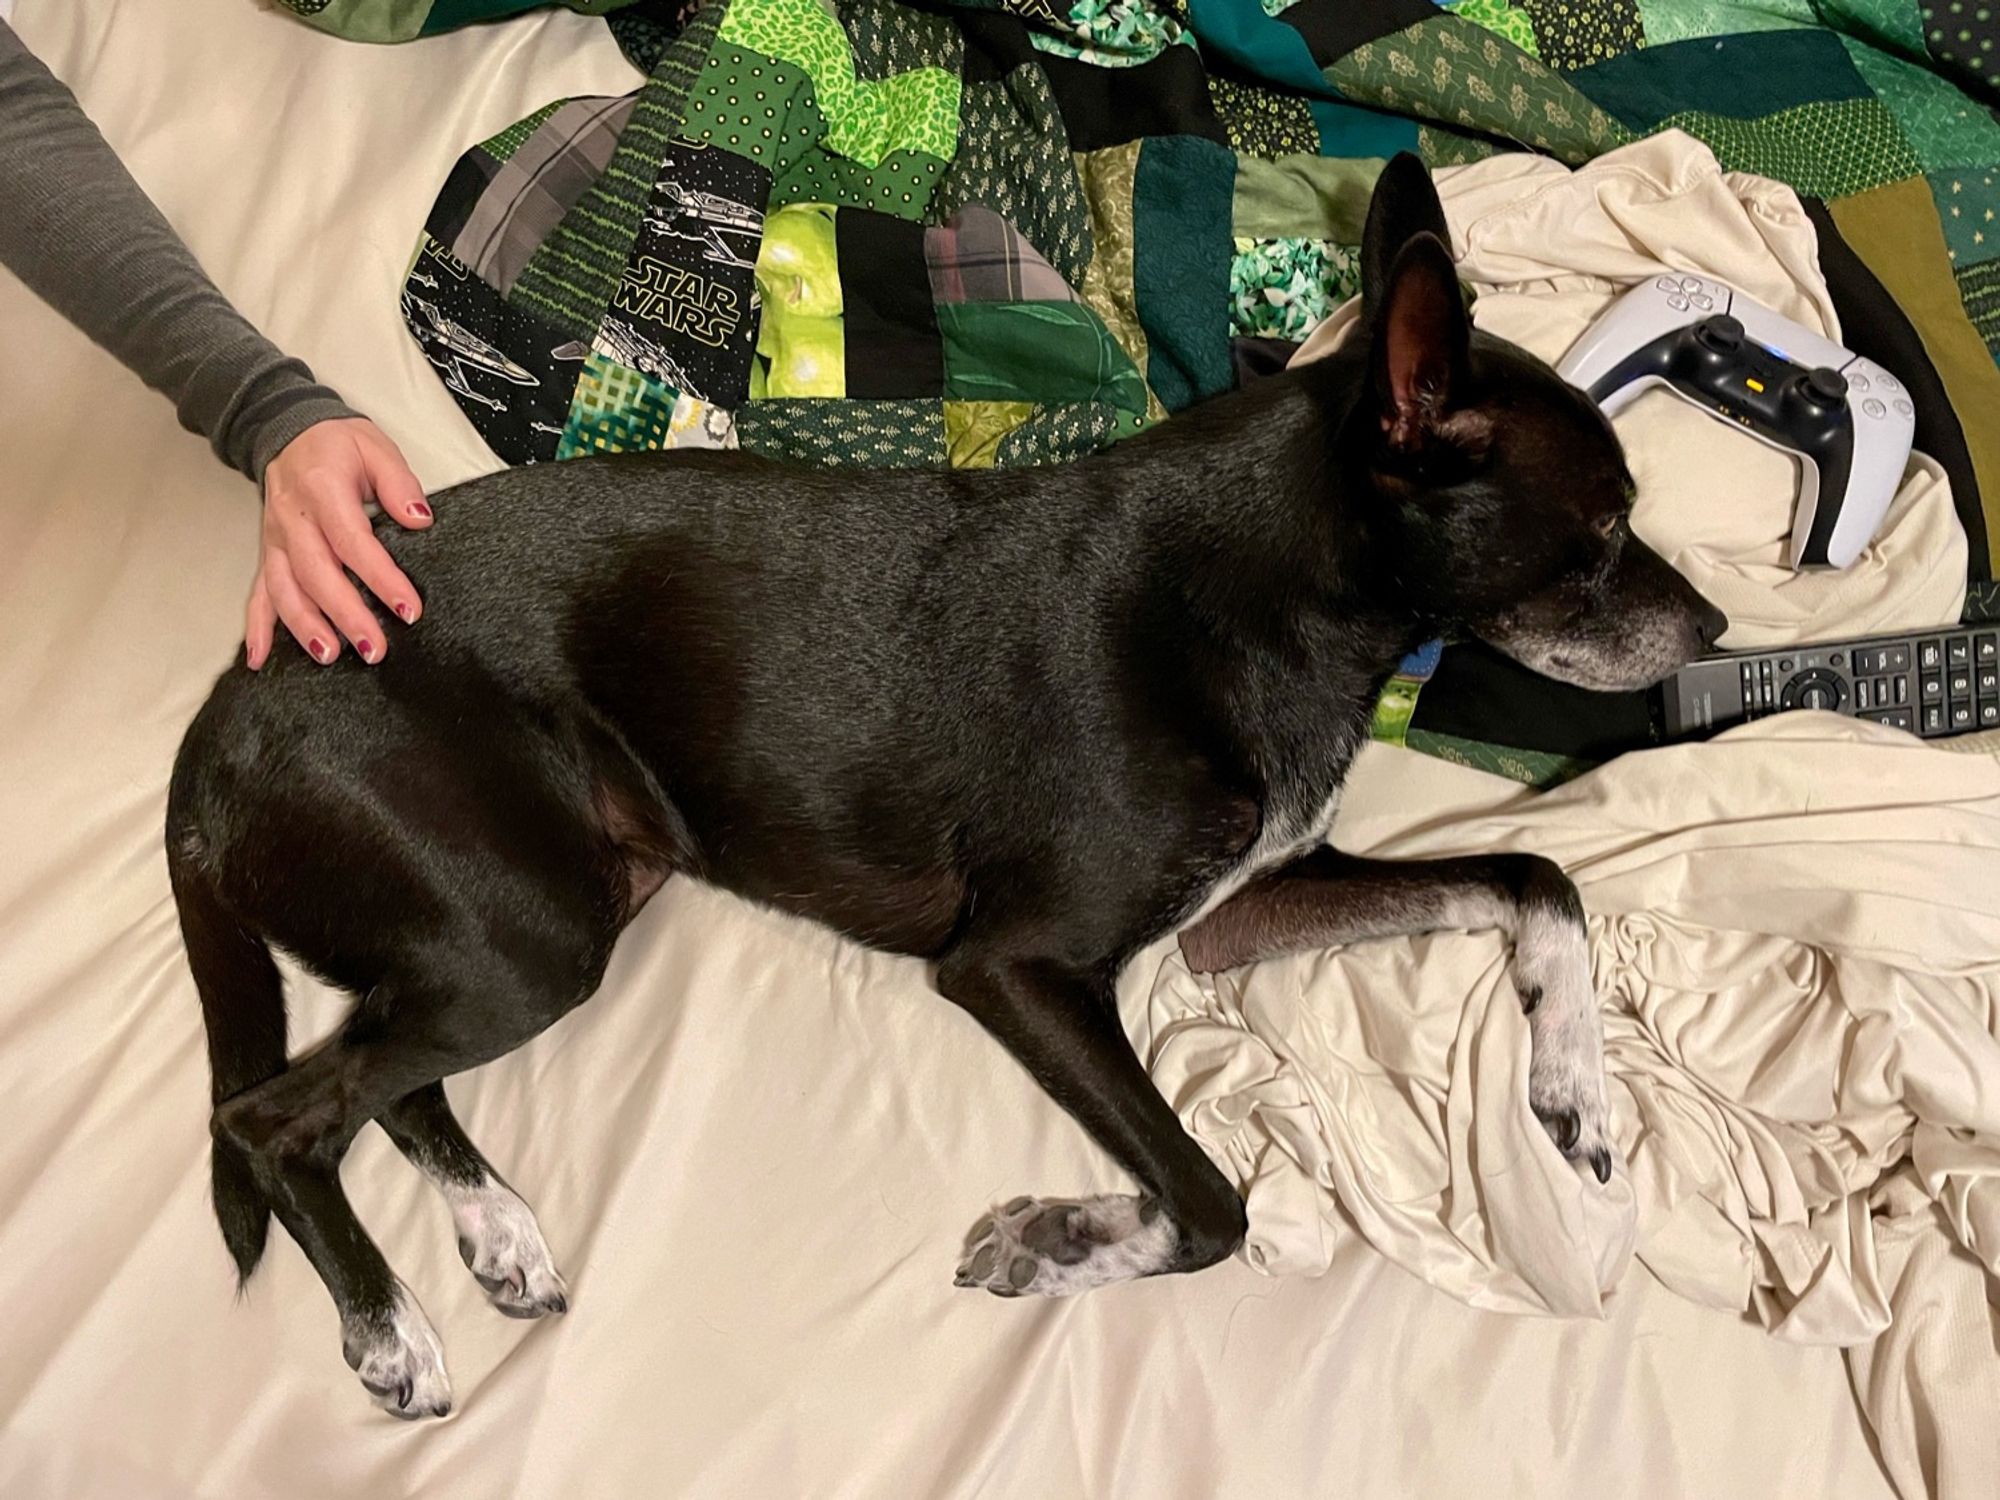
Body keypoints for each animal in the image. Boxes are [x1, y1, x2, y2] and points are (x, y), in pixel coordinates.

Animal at [168, 159, 1720, 1424]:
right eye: (1600, 534)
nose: (1711, 629)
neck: (1276, 584)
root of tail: (227, 707)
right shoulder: (1018, 965)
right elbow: (1209, 1203)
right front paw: (1063, 1240)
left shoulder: (1242, 904)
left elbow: (1531, 874)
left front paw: (1573, 1078)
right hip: (530, 933)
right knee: (272, 1118)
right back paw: (391, 1334)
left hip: (560, 900)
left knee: (374, 1078)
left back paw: (496, 1233)